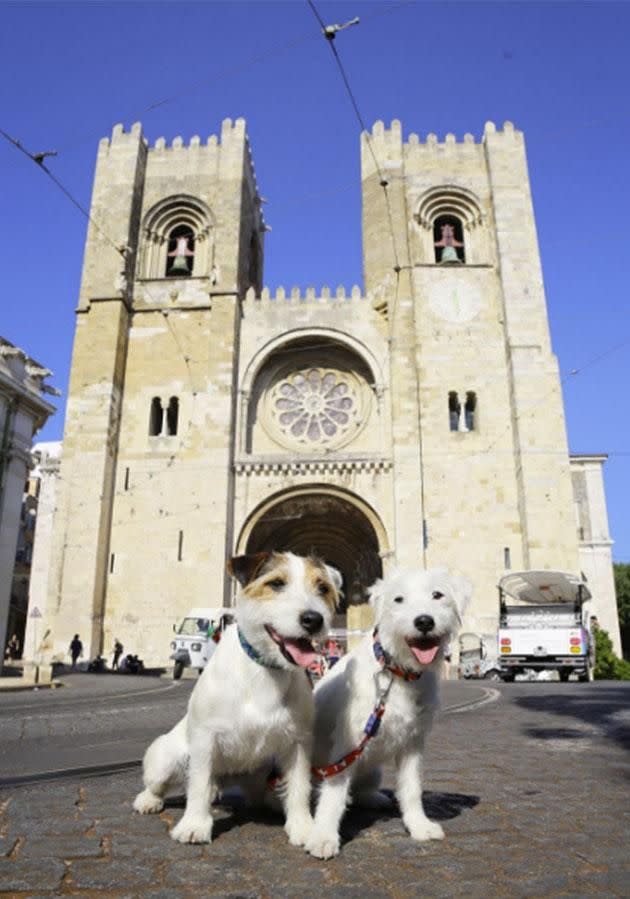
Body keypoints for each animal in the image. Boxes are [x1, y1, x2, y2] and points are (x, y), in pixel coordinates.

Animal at [133, 552, 340, 848]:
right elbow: (198, 784)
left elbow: (299, 787)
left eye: (322, 587)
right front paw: (195, 825)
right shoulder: (206, 737)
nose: (314, 619)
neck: (265, 670)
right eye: (276, 583)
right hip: (166, 757)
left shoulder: (299, 742)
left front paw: (303, 826)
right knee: (163, 783)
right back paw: (148, 800)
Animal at [304, 568, 472, 856]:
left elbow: (412, 789)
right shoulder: (347, 742)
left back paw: (375, 797)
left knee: (360, 791)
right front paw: (323, 836)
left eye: (437, 595)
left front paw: (419, 826)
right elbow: (334, 795)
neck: (397, 672)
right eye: (399, 599)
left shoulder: (413, 742)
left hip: (371, 768)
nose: (424, 621)